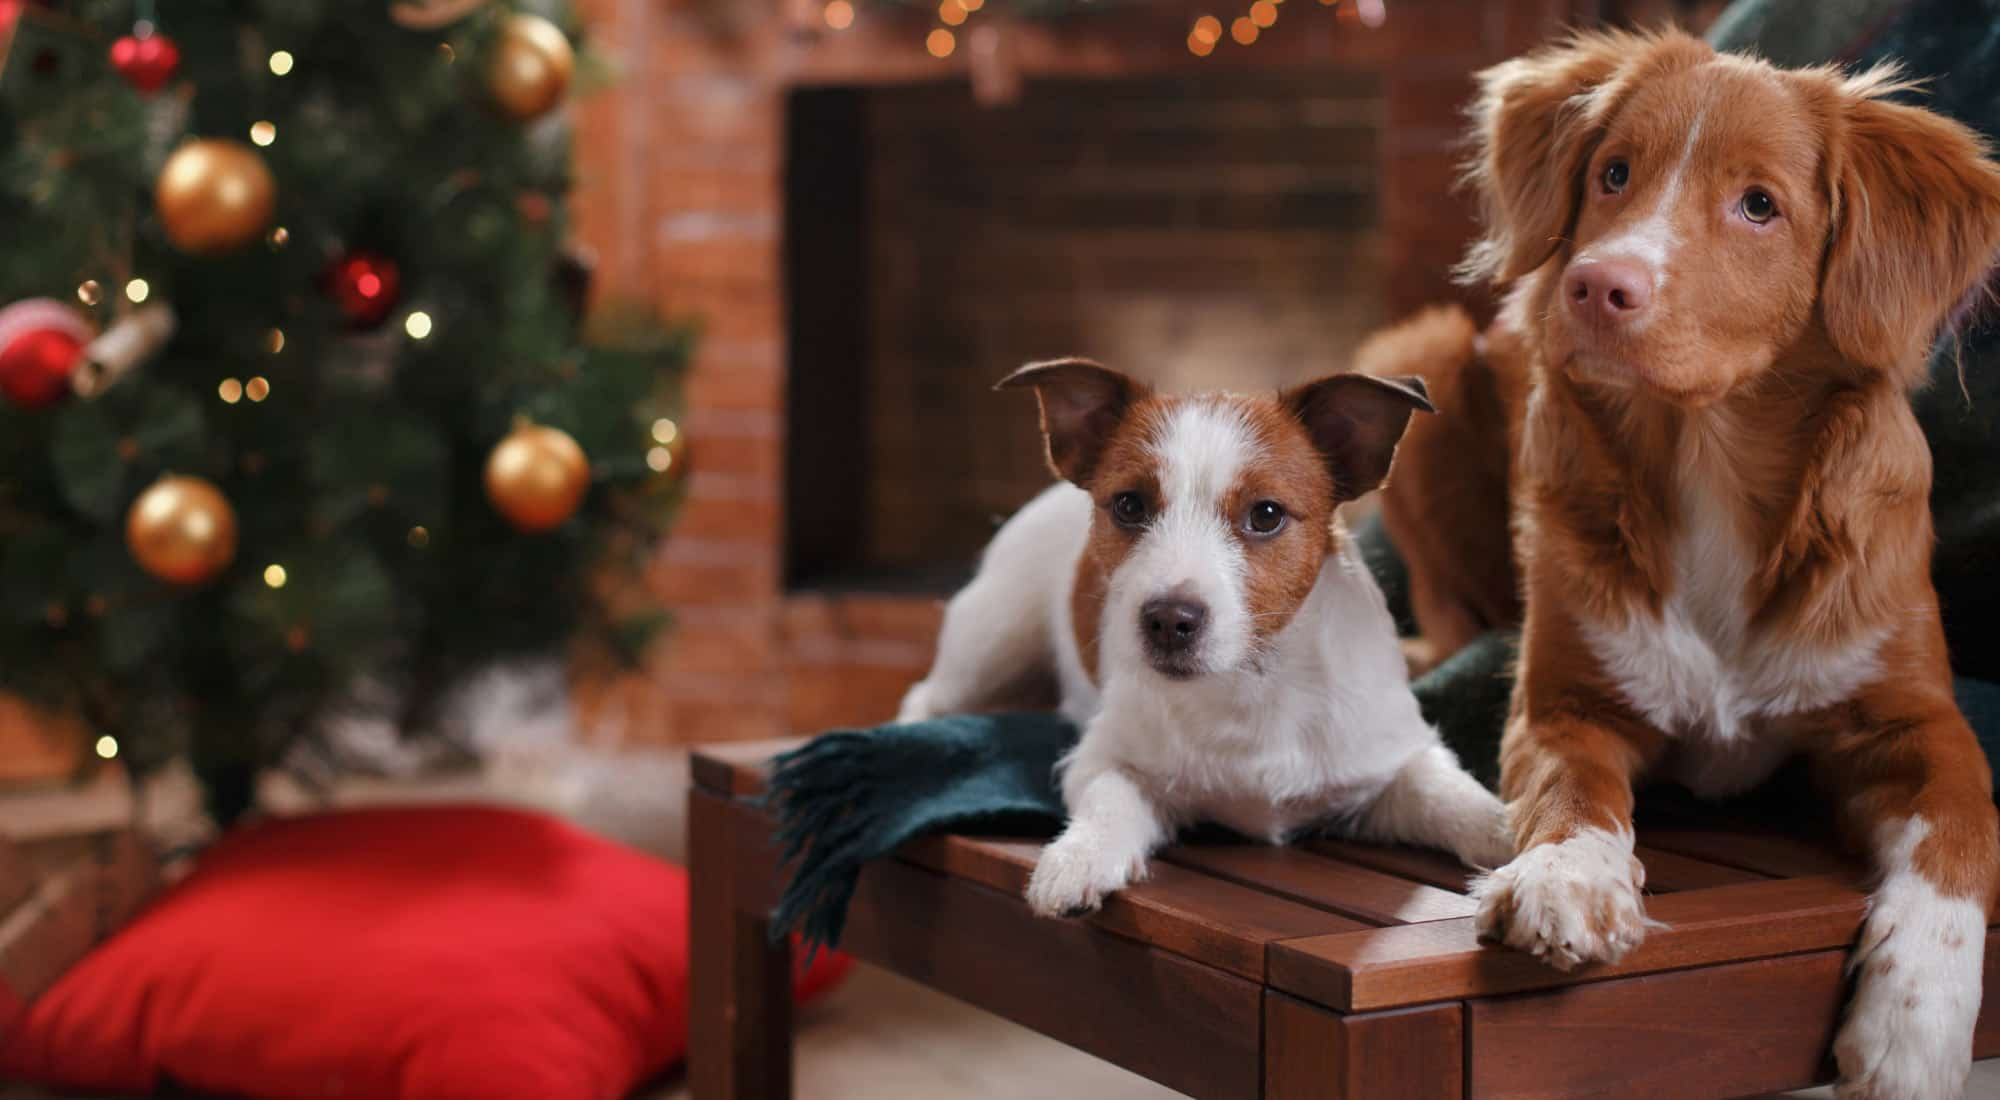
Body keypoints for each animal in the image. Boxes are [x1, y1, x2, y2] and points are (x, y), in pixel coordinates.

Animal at [900, 364, 1504, 924]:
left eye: (1266, 514)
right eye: (1129, 505)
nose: (1169, 620)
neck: (1252, 686)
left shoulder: (1394, 763)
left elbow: (1459, 800)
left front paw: (1518, 859)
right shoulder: (1103, 758)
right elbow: (1109, 799)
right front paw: (1079, 858)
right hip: (990, 647)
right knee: (927, 695)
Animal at [1376, 25, 2000, 1100]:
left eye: (1759, 204)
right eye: (1615, 174)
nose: (1594, 285)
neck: (1710, 456)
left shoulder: (1921, 720)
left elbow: (1962, 832)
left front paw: (1915, 1023)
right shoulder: (1565, 703)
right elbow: (1569, 789)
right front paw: (1569, 879)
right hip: (1424, 363)